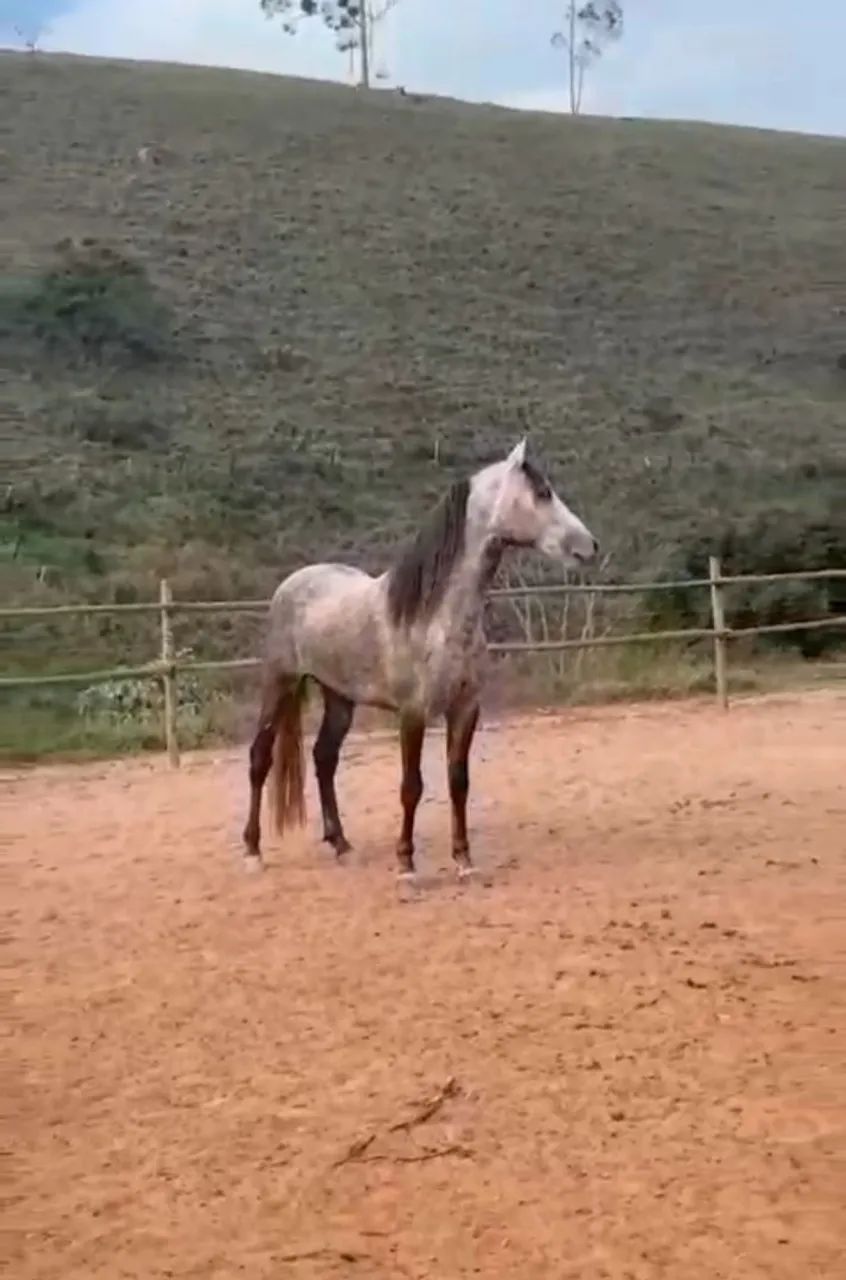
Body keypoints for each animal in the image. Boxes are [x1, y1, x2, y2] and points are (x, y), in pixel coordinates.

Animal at [242, 438, 598, 879]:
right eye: (543, 492)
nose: (589, 547)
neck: (436, 618)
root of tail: (293, 583)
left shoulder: (465, 709)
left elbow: (458, 781)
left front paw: (463, 859)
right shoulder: (412, 713)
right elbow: (411, 786)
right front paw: (407, 864)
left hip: (339, 696)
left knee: (324, 758)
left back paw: (341, 844)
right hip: (280, 682)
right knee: (260, 758)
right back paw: (253, 851)